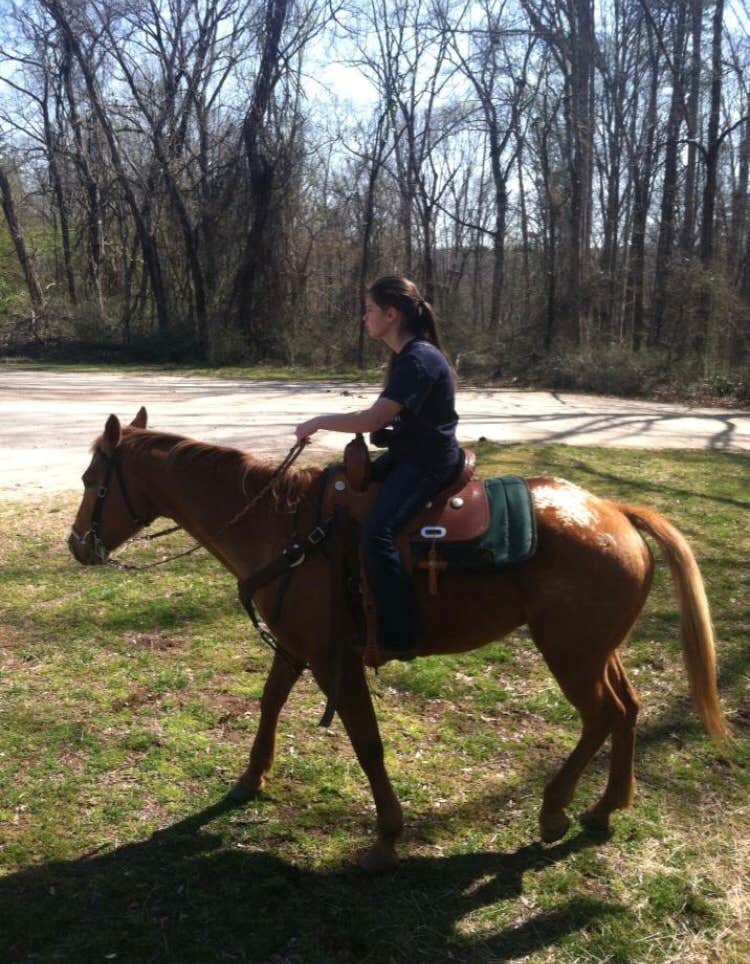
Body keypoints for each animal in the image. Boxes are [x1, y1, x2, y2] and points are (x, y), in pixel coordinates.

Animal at [68, 408, 729, 871]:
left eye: (91, 478)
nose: (78, 545)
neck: (284, 525)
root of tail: (616, 510)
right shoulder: (296, 646)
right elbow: (270, 703)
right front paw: (251, 778)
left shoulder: (332, 658)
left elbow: (366, 741)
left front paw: (386, 836)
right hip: (596, 650)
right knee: (629, 708)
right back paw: (606, 805)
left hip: (570, 654)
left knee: (602, 714)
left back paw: (553, 810)